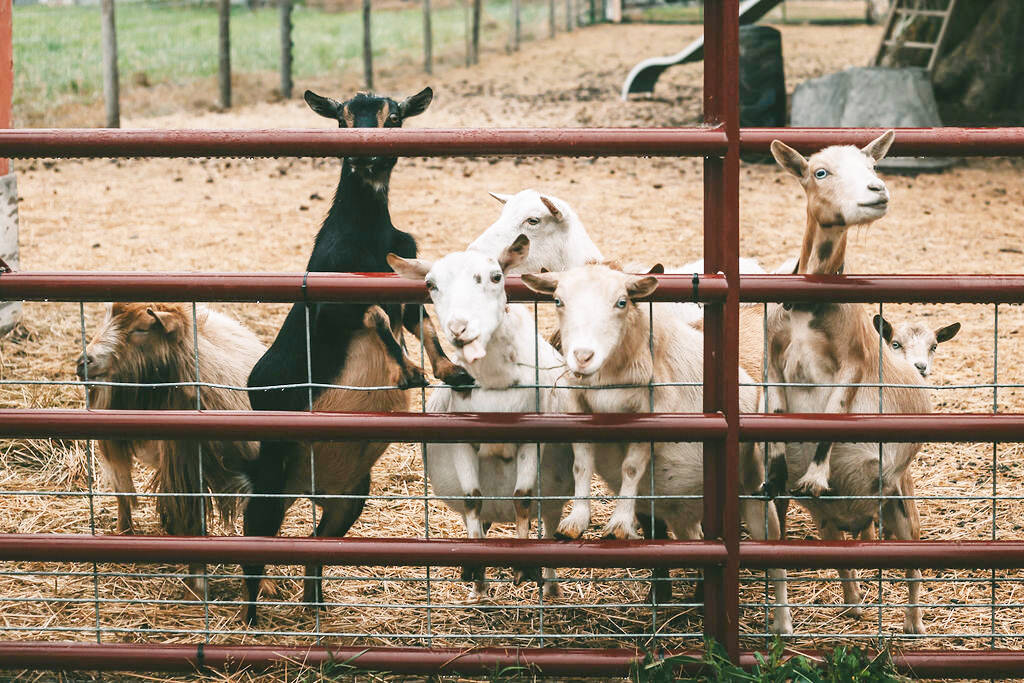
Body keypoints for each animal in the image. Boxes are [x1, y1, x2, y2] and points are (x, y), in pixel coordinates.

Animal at [77, 302, 264, 595]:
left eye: (142, 328)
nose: (84, 362)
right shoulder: (184, 469)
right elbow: (192, 520)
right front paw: (197, 586)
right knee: (123, 493)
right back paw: (125, 534)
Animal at [242, 87, 471, 625]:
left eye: (395, 119)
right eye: (343, 120)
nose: (365, 155)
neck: (367, 238)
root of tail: (309, 487)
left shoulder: (407, 284)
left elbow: (420, 323)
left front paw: (450, 371)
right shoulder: (331, 302)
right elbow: (375, 317)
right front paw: (408, 373)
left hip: (351, 495)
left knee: (316, 541)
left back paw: (315, 607)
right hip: (271, 474)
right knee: (254, 537)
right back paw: (249, 619)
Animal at [389, 235, 573, 600]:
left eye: (496, 277)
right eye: (430, 284)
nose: (459, 328)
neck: (495, 383)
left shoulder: (531, 439)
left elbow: (523, 498)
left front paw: (524, 568)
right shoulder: (461, 441)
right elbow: (472, 499)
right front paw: (475, 569)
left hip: (556, 495)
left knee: (549, 526)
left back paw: (551, 586)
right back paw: (478, 585)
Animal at [523, 263, 792, 634]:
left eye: (622, 302)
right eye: (558, 300)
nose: (582, 356)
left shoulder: (652, 413)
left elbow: (632, 467)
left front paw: (619, 525)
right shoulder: (579, 408)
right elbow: (582, 463)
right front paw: (576, 519)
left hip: (754, 492)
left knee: (773, 555)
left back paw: (782, 624)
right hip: (683, 509)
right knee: (697, 539)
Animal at [763, 130, 931, 634]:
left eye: (873, 166)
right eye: (820, 171)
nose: (877, 191)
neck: (807, 307)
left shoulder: (853, 360)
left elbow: (835, 408)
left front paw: (816, 474)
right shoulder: (773, 355)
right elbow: (775, 407)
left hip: (901, 500)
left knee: (912, 560)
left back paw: (914, 626)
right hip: (827, 521)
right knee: (833, 549)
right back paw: (850, 604)